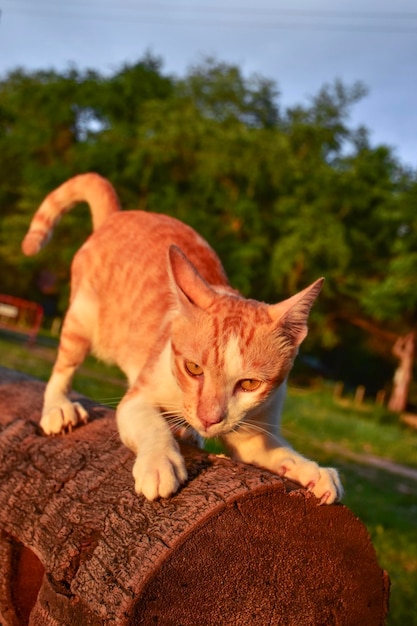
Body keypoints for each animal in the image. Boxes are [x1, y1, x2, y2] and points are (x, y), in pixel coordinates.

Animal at [22, 172, 342, 502]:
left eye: (250, 384)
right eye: (193, 368)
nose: (209, 419)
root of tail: (118, 215)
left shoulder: (255, 431)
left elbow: (276, 452)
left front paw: (311, 470)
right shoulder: (136, 399)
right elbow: (152, 424)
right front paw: (160, 463)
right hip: (82, 318)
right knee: (64, 367)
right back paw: (58, 408)